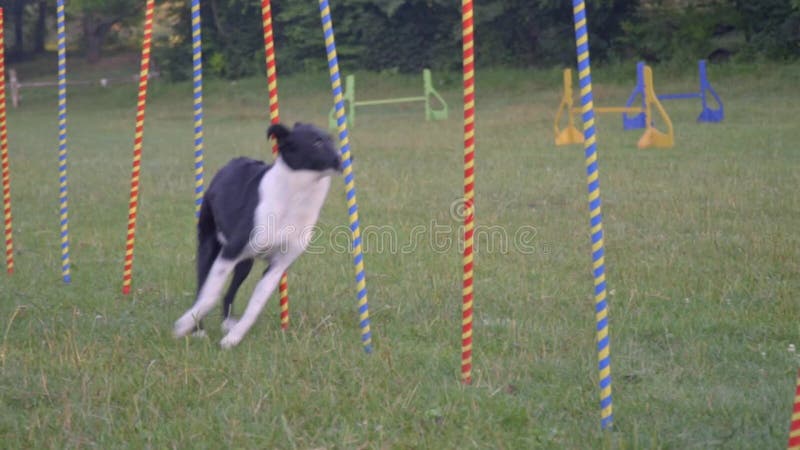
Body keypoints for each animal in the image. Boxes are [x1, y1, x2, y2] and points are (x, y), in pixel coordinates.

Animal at [173, 122, 340, 348]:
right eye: (316, 142)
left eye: (331, 139)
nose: (345, 159)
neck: (294, 197)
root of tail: (232, 162)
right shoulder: (230, 253)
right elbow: (209, 295)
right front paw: (183, 326)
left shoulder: (277, 266)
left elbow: (254, 306)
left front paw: (233, 339)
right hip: (208, 247)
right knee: (202, 288)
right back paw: (198, 329)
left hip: (246, 263)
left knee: (229, 293)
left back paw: (228, 323)